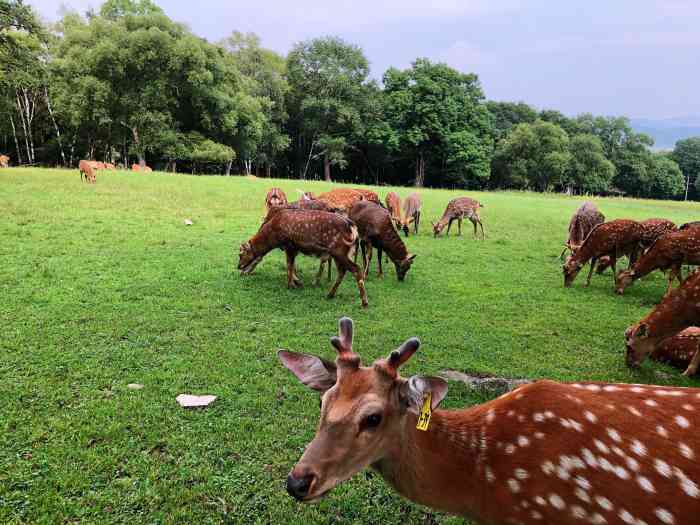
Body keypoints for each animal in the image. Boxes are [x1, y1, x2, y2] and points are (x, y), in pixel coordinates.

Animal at [239, 207, 370, 308]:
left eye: (240, 254)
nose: (239, 267)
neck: (273, 237)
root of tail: (353, 228)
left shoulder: (289, 245)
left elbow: (289, 265)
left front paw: (290, 285)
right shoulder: (294, 248)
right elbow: (292, 265)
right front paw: (296, 283)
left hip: (339, 250)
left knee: (356, 269)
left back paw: (364, 302)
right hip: (343, 252)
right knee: (342, 271)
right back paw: (330, 294)